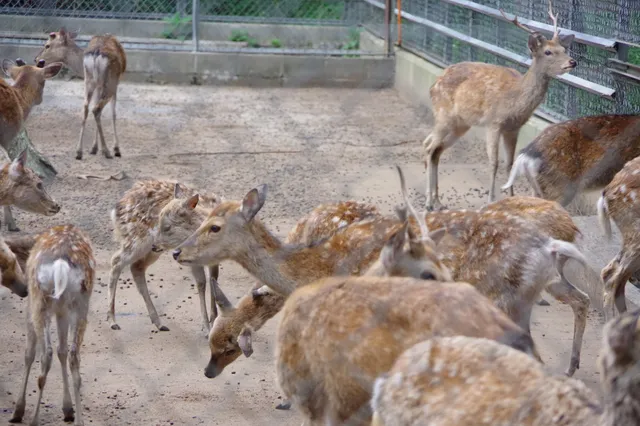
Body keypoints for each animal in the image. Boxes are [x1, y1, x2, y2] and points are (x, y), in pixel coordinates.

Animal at [9, 224, 96, 426]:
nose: (22, 289)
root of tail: (61, 263)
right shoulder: (62, 311)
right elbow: (61, 351)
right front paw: (68, 410)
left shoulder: (30, 306)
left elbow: (29, 353)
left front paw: (18, 411)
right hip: (80, 303)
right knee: (73, 355)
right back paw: (79, 421)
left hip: (39, 300)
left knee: (45, 354)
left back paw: (33, 420)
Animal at [35, 28, 127, 160]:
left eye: (47, 45)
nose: (37, 60)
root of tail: (96, 55)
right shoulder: (116, 82)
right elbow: (113, 114)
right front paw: (115, 149)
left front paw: (94, 148)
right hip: (110, 82)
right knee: (96, 109)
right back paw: (107, 151)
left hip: (90, 81)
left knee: (86, 108)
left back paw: (79, 151)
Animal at [107, 179, 223, 333]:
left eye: (168, 227)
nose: (154, 244)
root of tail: (116, 209)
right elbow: (201, 283)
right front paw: (206, 327)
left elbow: (213, 280)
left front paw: (214, 320)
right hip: (137, 239)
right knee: (116, 260)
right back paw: (112, 320)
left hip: (150, 249)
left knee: (136, 267)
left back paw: (158, 322)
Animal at [422, 0, 576, 211]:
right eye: (548, 51)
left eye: (564, 49)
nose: (572, 62)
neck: (515, 101)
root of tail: (433, 85)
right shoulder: (494, 123)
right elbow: (493, 163)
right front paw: (489, 201)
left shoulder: (513, 128)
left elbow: (509, 163)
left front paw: (511, 198)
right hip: (443, 114)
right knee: (430, 148)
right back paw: (429, 202)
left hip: (460, 124)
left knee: (434, 148)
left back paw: (437, 201)